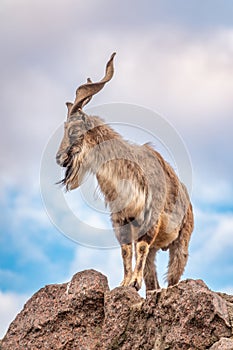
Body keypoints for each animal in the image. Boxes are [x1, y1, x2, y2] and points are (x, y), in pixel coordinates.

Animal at [57, 53, 195, 292]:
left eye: (73, 129)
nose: (60, 158)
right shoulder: (120, 220)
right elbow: (126, 250)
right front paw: (125, 283)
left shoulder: (150, 218)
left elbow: (140, 246)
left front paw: (134, 282)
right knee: (153, 277)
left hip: (181, 241)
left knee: (173, 275)